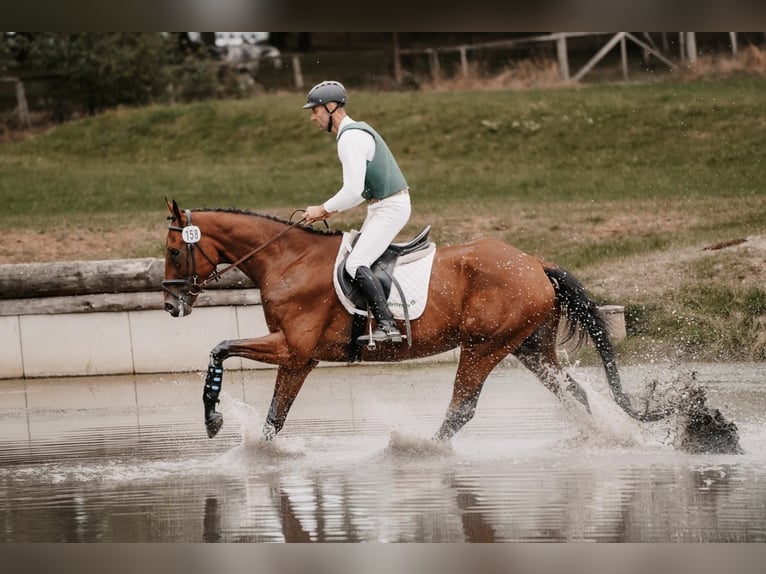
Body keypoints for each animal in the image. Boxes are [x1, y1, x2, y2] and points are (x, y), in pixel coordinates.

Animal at [164, 200, 672, 444]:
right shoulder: (299, 359)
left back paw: (421, 450)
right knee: (574, 393)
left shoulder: (292, 348)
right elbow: (274, 418)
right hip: (529, 348)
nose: (171, 306)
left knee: (462, 407)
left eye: (172, 251)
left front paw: (213, 418)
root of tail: (533, 262)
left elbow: (220, 348)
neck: (288, 261)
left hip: (483, 346)